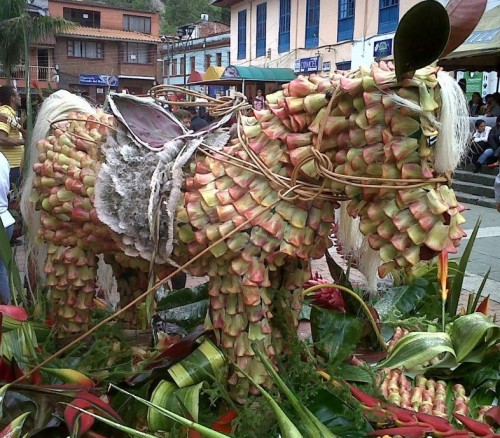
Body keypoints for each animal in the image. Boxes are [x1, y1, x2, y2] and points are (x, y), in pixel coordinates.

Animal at [20, 63, 469, 394]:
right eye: (419, 136)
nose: (444, 236)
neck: (273, 169)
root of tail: (72, 119)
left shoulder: (291, 266)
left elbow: (285, 325)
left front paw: (297, 377)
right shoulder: (239, 274)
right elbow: (249, 343)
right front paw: (258, 399)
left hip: (123, 244)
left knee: (129, 288)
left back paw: (132, 349)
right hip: (67, 244)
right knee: (70, 301)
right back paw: (77, 364)